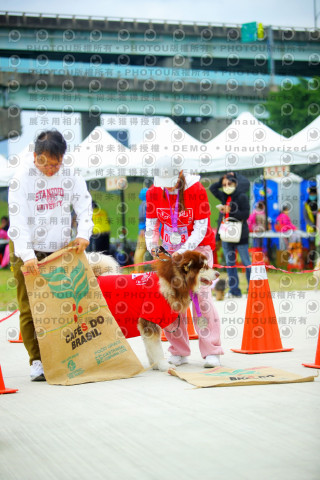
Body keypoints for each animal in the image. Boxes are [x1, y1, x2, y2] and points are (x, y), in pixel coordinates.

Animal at [86, 248, 219, 372]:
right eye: (205, 267)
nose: (218, 273)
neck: (170, 282)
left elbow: (149, 348)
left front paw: (155, 365)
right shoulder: (149, 322)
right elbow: (157, 349)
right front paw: (163, 365)